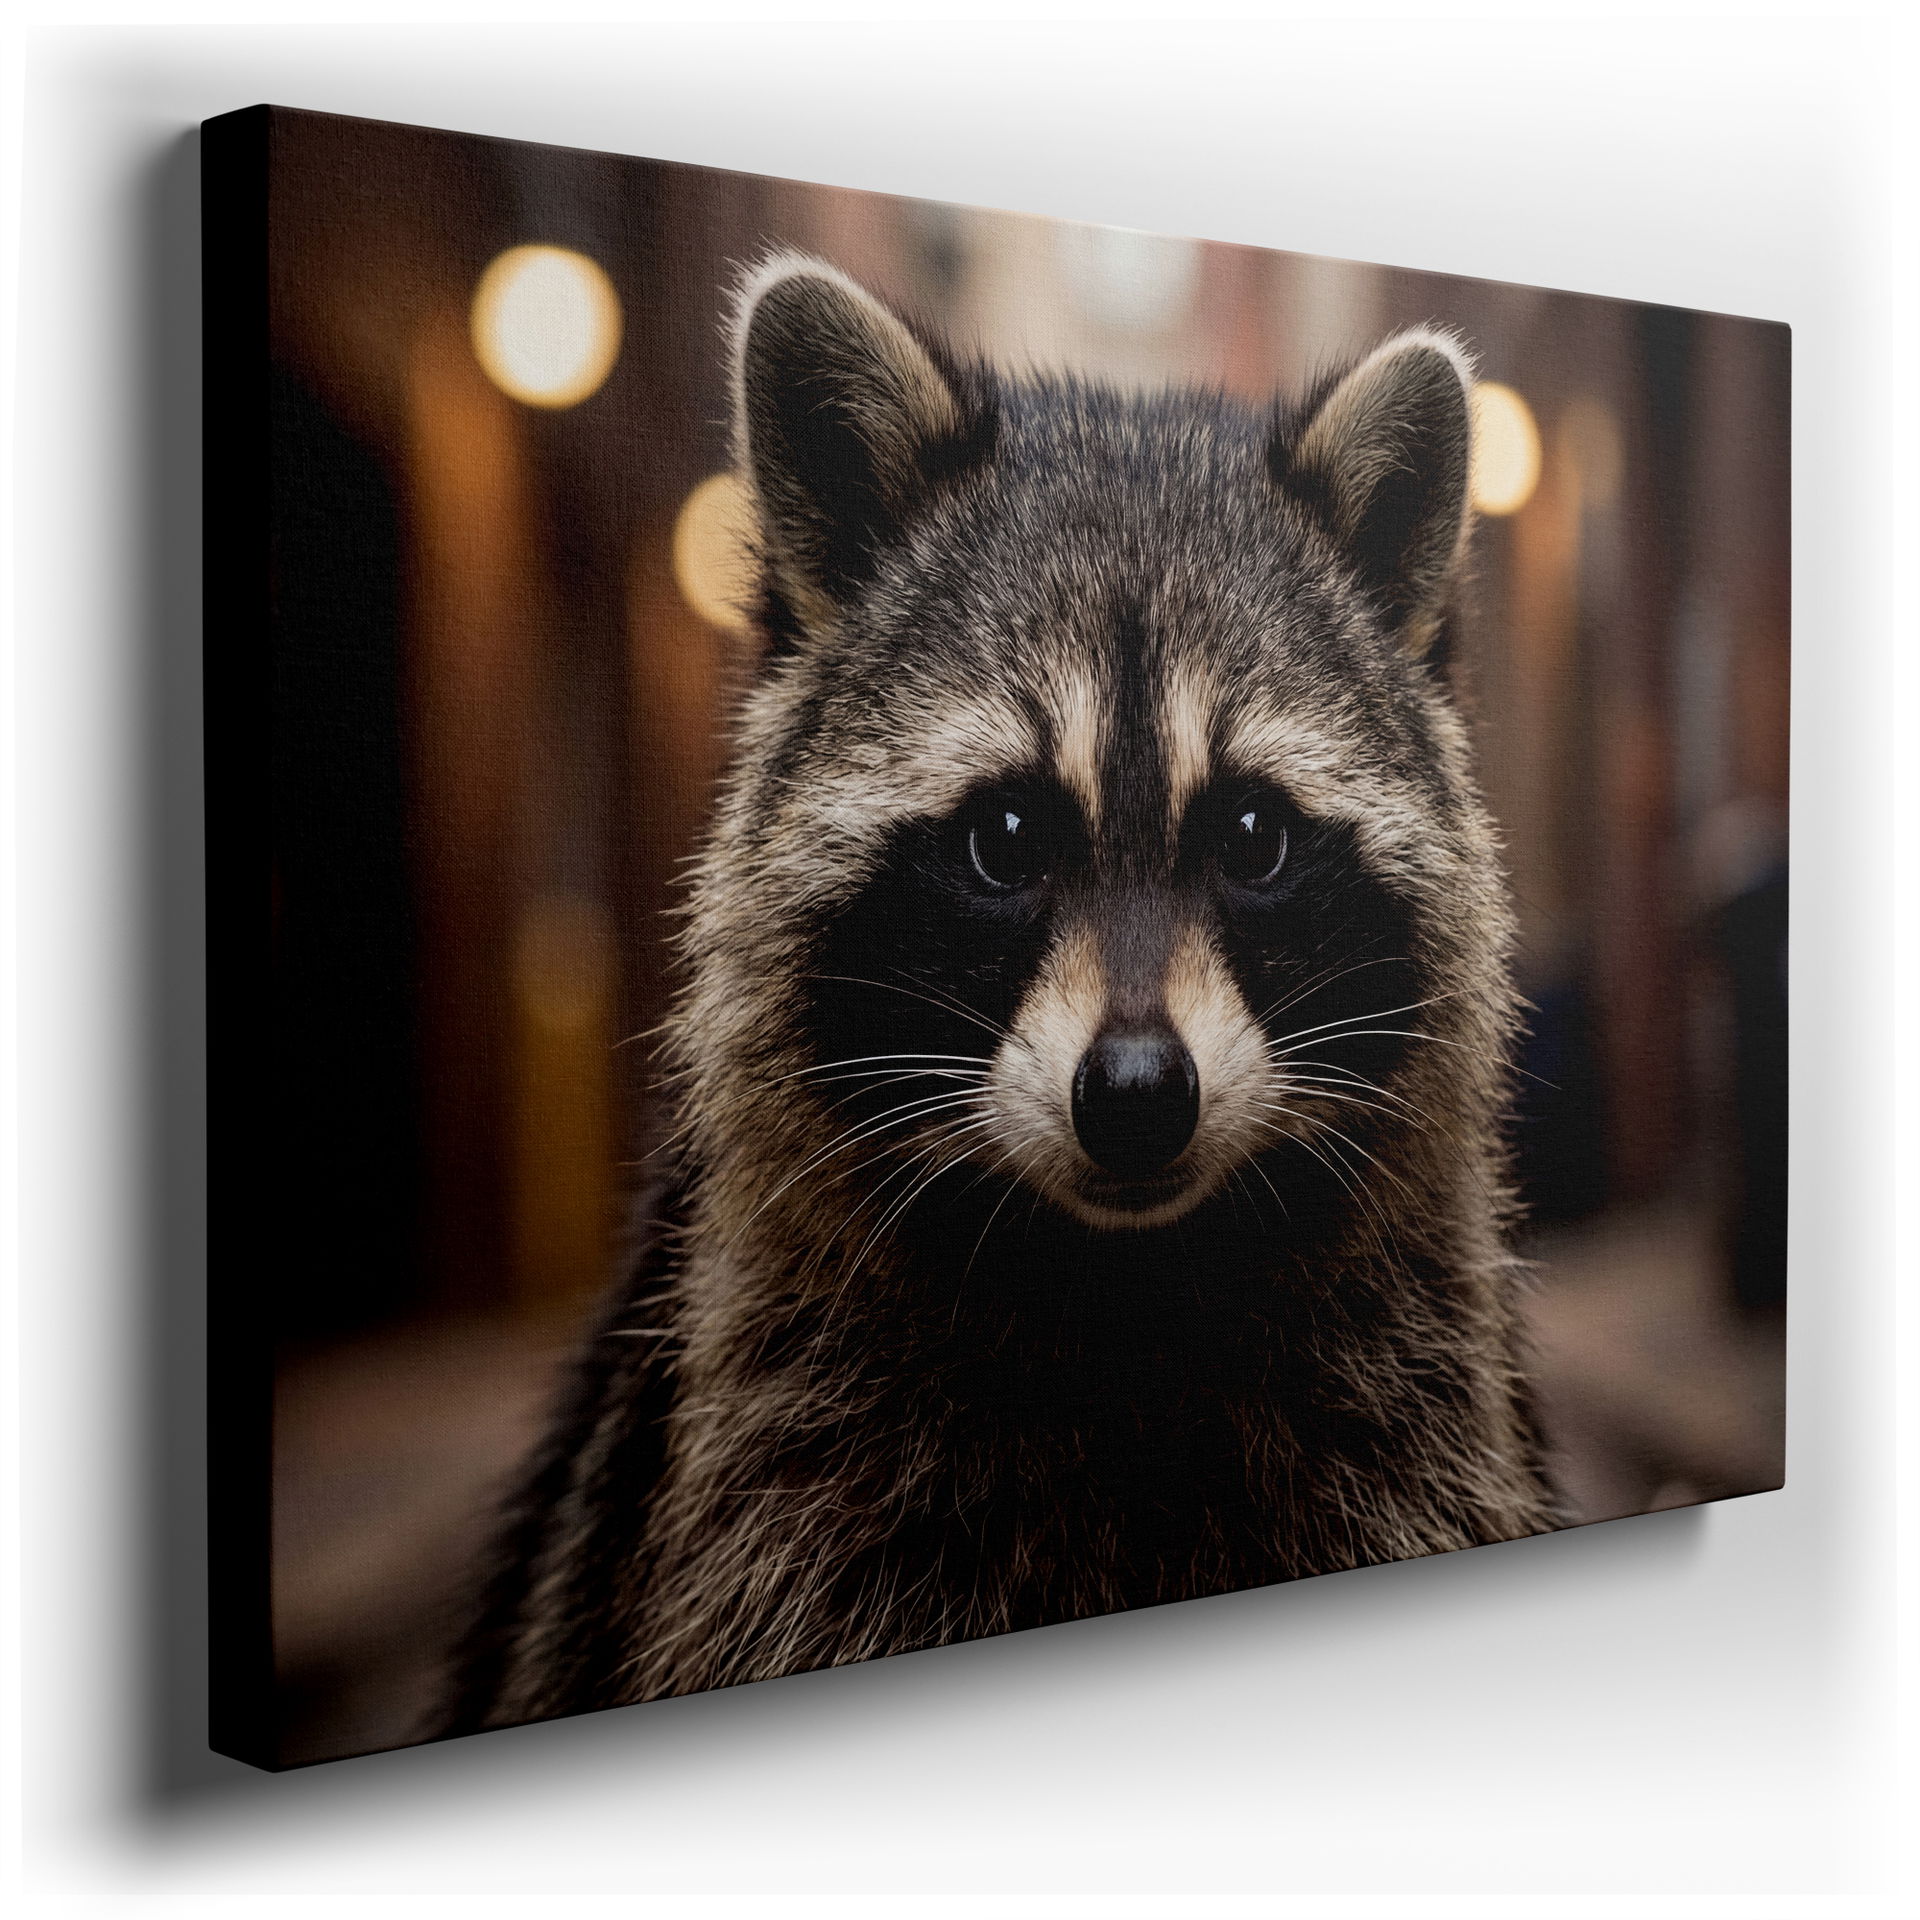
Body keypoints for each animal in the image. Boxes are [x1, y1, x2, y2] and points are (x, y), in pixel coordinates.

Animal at [446, 253, 1554, 1734]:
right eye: (1009, 838)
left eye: (1253, 837)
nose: (1137, 1096)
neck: (1125, 1284)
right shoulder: (778, 1471)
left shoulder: (1407, 1421)